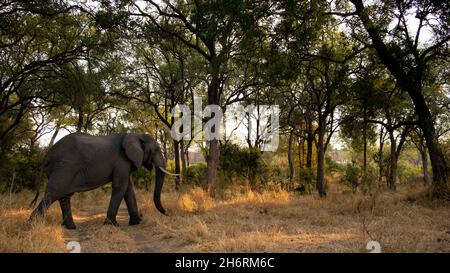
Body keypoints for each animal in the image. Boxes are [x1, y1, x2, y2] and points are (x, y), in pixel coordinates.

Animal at [28, 132, 178, 227]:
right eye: (157, 150)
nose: (169, 214)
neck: (136, 134)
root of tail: (47, 155)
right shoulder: (121, 160)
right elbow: (120, 187)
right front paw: (112, 225)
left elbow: (128, 189)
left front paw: (136, 223)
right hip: (65, 166)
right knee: (53, 194)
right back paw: (31, 225)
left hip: (62, 168)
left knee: (64, 196)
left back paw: (70, 227)